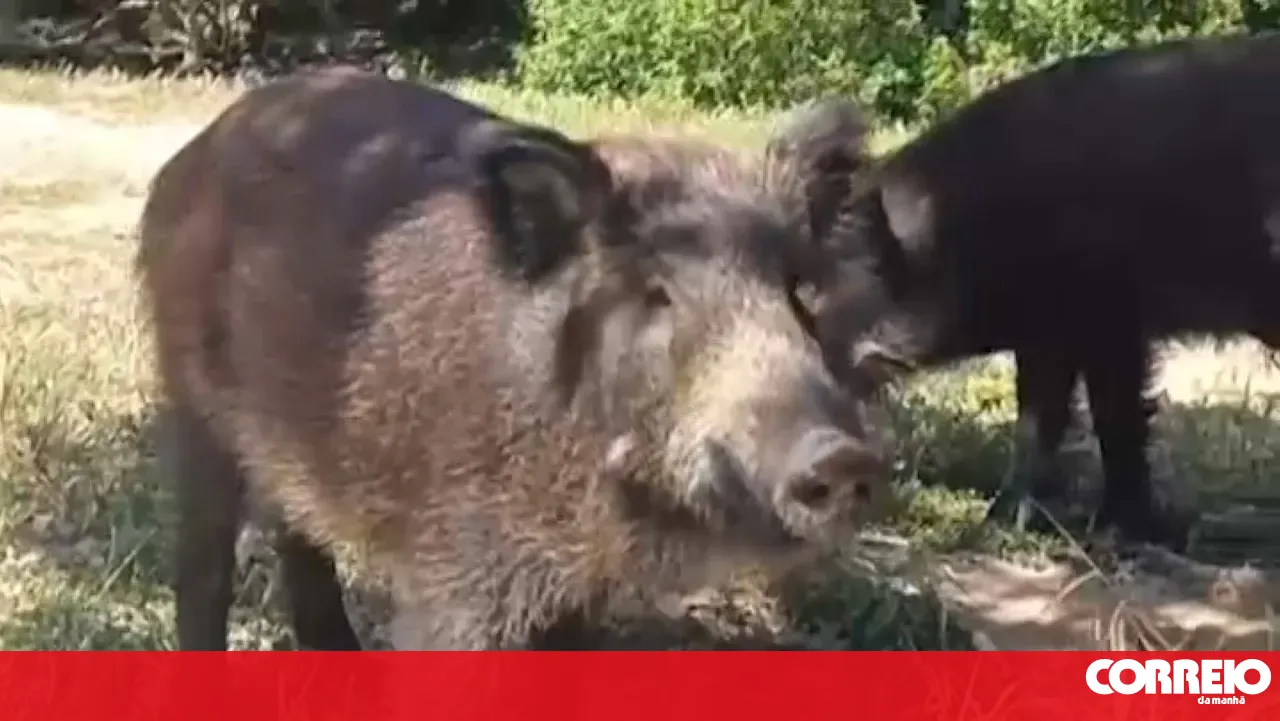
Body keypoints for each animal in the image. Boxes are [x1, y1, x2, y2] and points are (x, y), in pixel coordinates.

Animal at [134, 65, 893, 650]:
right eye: (655, 291)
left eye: (798, 291)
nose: (841, 456)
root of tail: (188, 157)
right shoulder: (459, 572)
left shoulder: (573, 594)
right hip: (192, 404)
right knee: (202, 563)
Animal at [784, 31, 1280, 553]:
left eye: (818, 286)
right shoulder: (1048, 332)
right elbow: (1042, 416)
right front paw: (1014, 520)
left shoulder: (1108, 319)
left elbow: (1111, 416)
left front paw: (1104, 529)